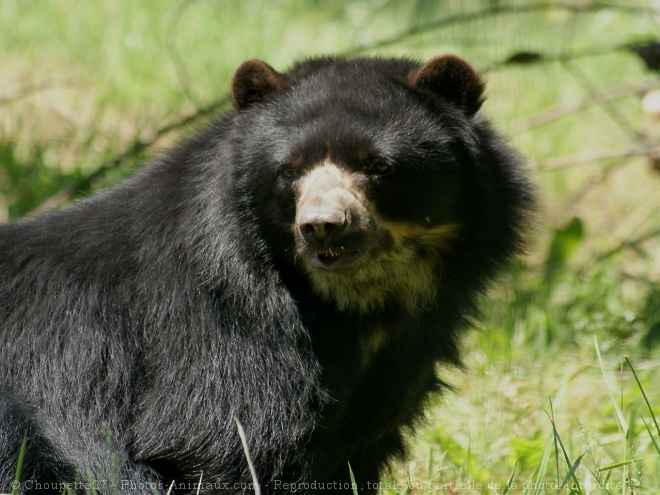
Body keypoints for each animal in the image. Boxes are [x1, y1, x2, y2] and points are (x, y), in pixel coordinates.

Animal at [0, 52, 532, 494]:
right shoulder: (217, 332)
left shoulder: (400, 362)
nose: (322, 226)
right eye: (289, 171)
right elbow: (216, 438)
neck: (352, 306)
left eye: (378, 166)